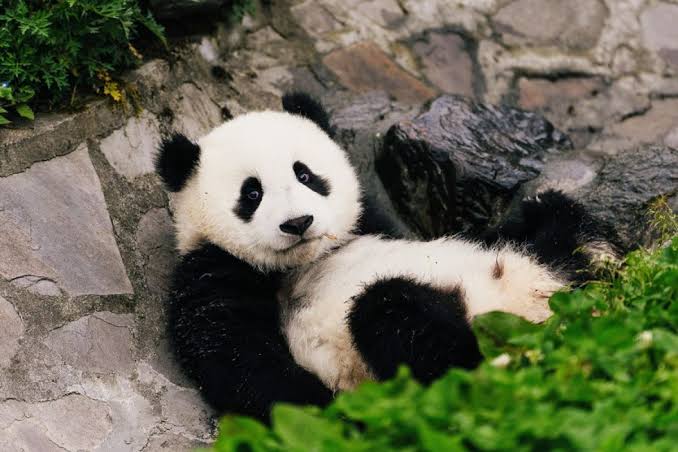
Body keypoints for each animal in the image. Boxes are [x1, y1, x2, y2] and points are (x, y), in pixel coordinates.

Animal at [156, 92, 615, 421]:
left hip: (541, 270)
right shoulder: (213, 271)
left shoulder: (371, 221)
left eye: (305, 174)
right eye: (252, 193)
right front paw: (328, 412)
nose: (298, 222)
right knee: (392, 311)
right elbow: (239, 360)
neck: (306, 259)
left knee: (556, 230)